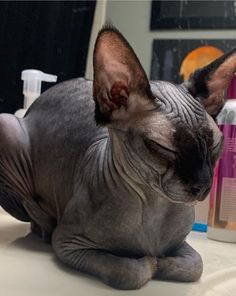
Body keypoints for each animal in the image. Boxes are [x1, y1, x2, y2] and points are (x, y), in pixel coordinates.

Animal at [1, 25, 236, 290]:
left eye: (215, 144)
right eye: (164, 147)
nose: (204, 185)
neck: (155, 206)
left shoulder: (183, 246)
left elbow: (195, 266)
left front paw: (160, 261)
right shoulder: (68, 243)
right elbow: (129, 272)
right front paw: (149, 262)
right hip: (6, 124)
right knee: (33, 215)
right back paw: (43, 224)